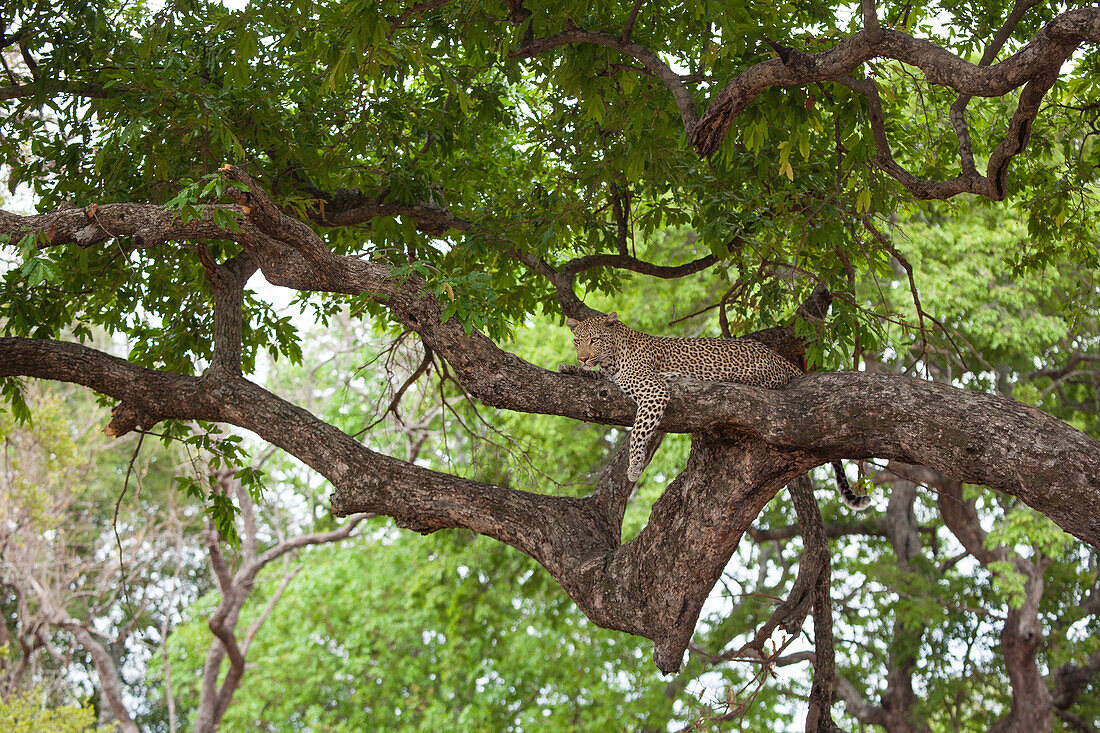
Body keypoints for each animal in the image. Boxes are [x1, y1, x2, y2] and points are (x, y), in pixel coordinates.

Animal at [567, 310, 866, 508]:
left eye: (594, 340)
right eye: (577, 341)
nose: (582, 357)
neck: (612, 358)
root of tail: (779, 357)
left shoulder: (654, 391)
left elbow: (638, 432)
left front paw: (633, 466)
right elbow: (596, 376)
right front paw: (570, 368)